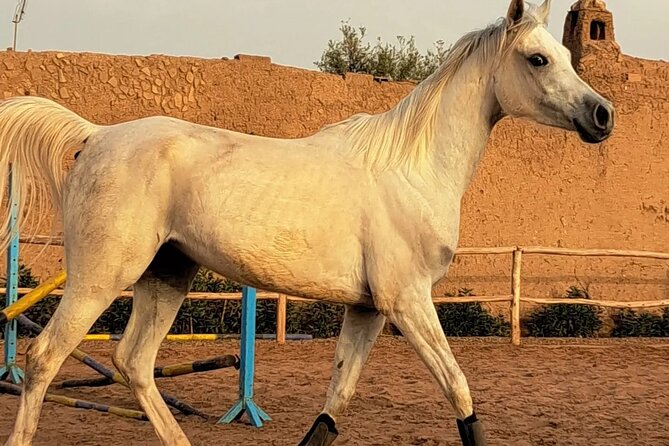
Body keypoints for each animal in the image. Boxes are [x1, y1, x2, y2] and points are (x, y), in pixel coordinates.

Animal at [0, 0, 612, 444]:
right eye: (537, 58)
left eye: (565, 54)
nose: (603, 115)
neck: (412, 168)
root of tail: (96, 135)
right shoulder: (407, 300)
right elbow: (459, 391)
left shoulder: (368, 309)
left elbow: (335, 402)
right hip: (101, 277)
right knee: (44, 358)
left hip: (167, 275)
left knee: (134, 363)